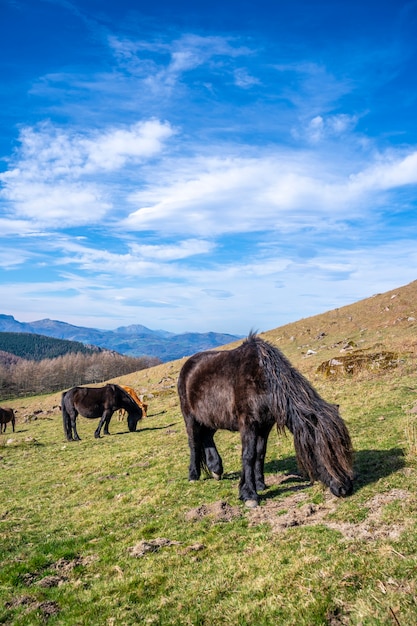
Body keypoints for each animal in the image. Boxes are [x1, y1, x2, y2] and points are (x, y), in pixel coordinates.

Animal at [177, 332, 352, 508]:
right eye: (321, 450)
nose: (344, 488)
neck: (264, 381)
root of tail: (187, 366)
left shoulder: (265, 426)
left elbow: (260, 453)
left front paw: (260, 484)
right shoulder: (248, 424)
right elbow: (248, 455)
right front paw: (249, 494)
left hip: (210, 418)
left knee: (207, 437)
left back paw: (216, 469)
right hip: (190, 418)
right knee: (194, 443)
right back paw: (194, 475)